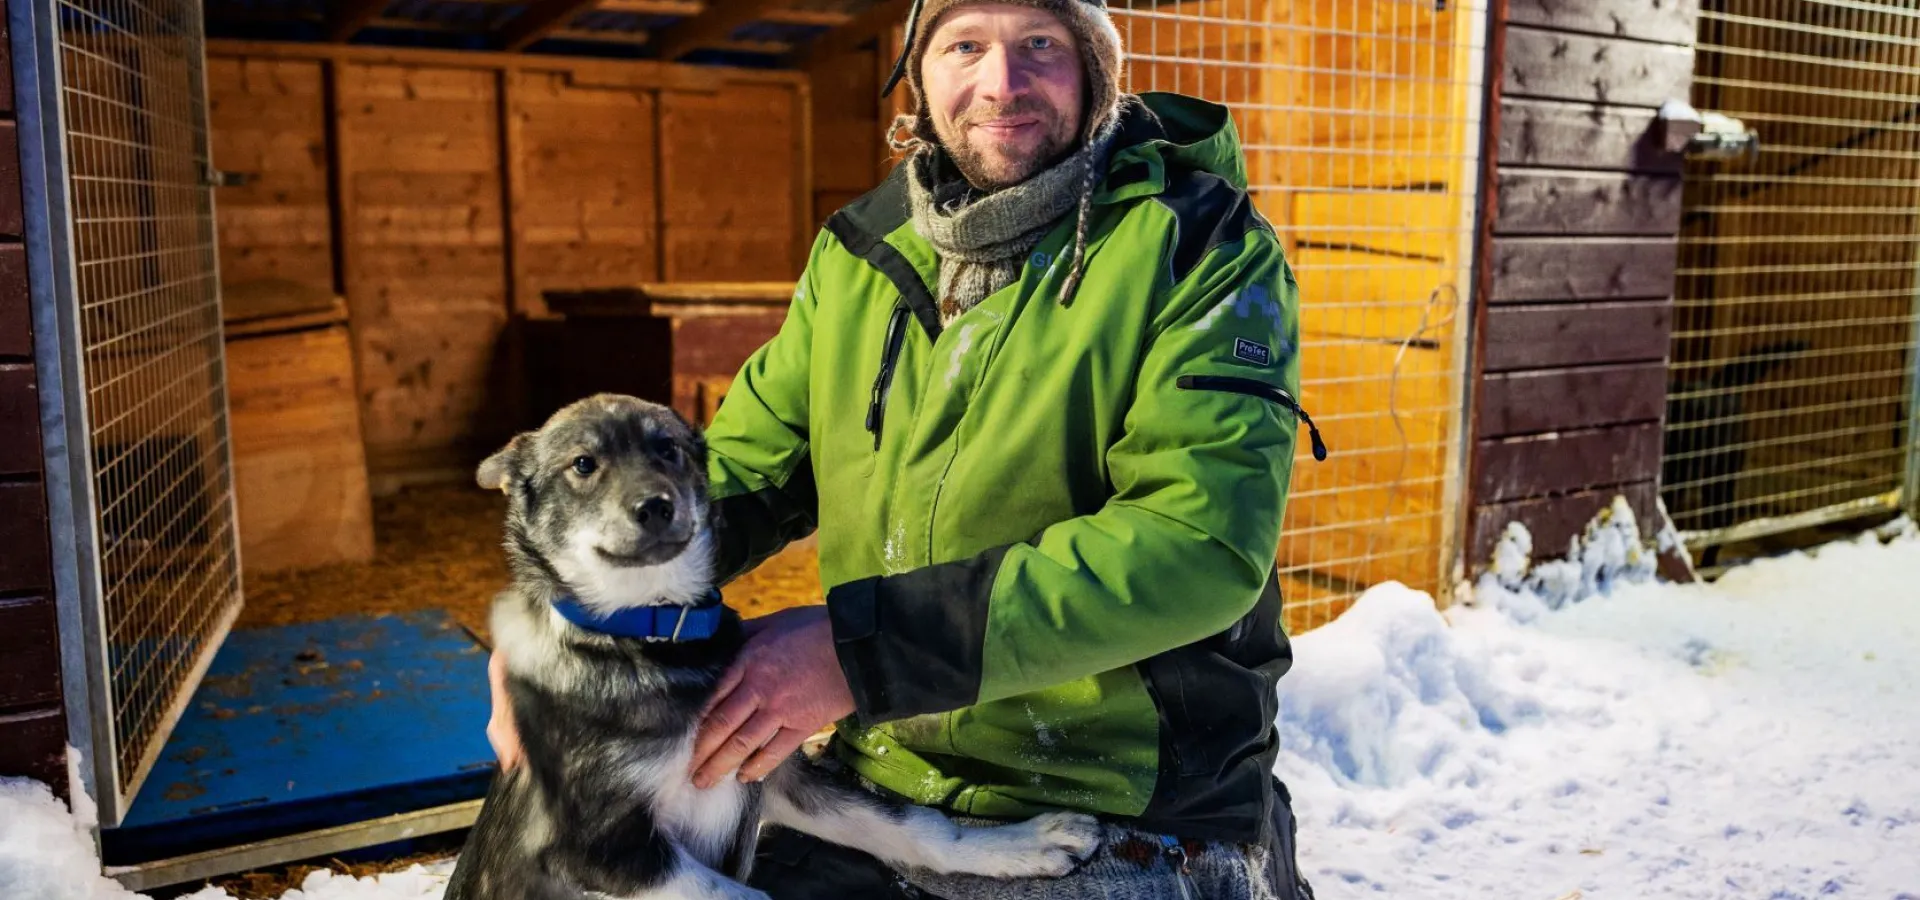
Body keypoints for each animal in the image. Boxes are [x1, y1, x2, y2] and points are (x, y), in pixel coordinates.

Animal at [439, 397, 1098, 898]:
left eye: (668, 450)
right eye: (583, 464)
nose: (656, 506)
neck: (654, 637)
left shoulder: (772, 771)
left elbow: (914, 823)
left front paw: (1016, 843)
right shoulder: (597, 845)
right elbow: (741, 895)